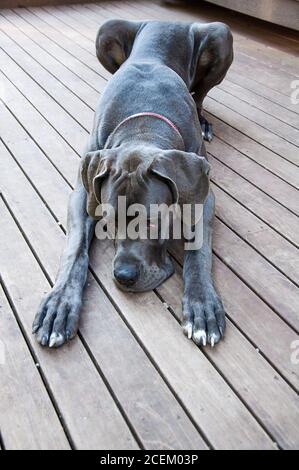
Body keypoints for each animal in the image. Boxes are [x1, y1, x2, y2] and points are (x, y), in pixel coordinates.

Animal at [32, 19, 234, 348]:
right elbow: (74, 249)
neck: (144, 125)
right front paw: (59, 304)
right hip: (106, 30)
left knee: (200, 95)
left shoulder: (203, 195)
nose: (124, 275)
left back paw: (203, 119)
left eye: (153, 221)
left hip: (219, 34)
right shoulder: (83, 193)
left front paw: (201, 304)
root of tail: (166, 20)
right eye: (108, 221)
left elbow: (199, 249)